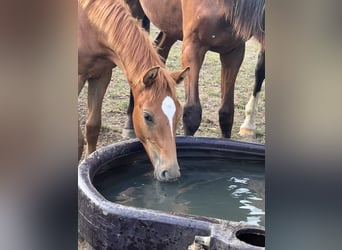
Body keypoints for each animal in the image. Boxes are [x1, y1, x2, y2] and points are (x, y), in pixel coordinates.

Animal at [78, 0, 190, 181]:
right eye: (147, 116)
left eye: (179, 114)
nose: (171, 172)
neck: (88, 23)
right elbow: (78, 140)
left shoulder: (102, 75)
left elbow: (93, 127)